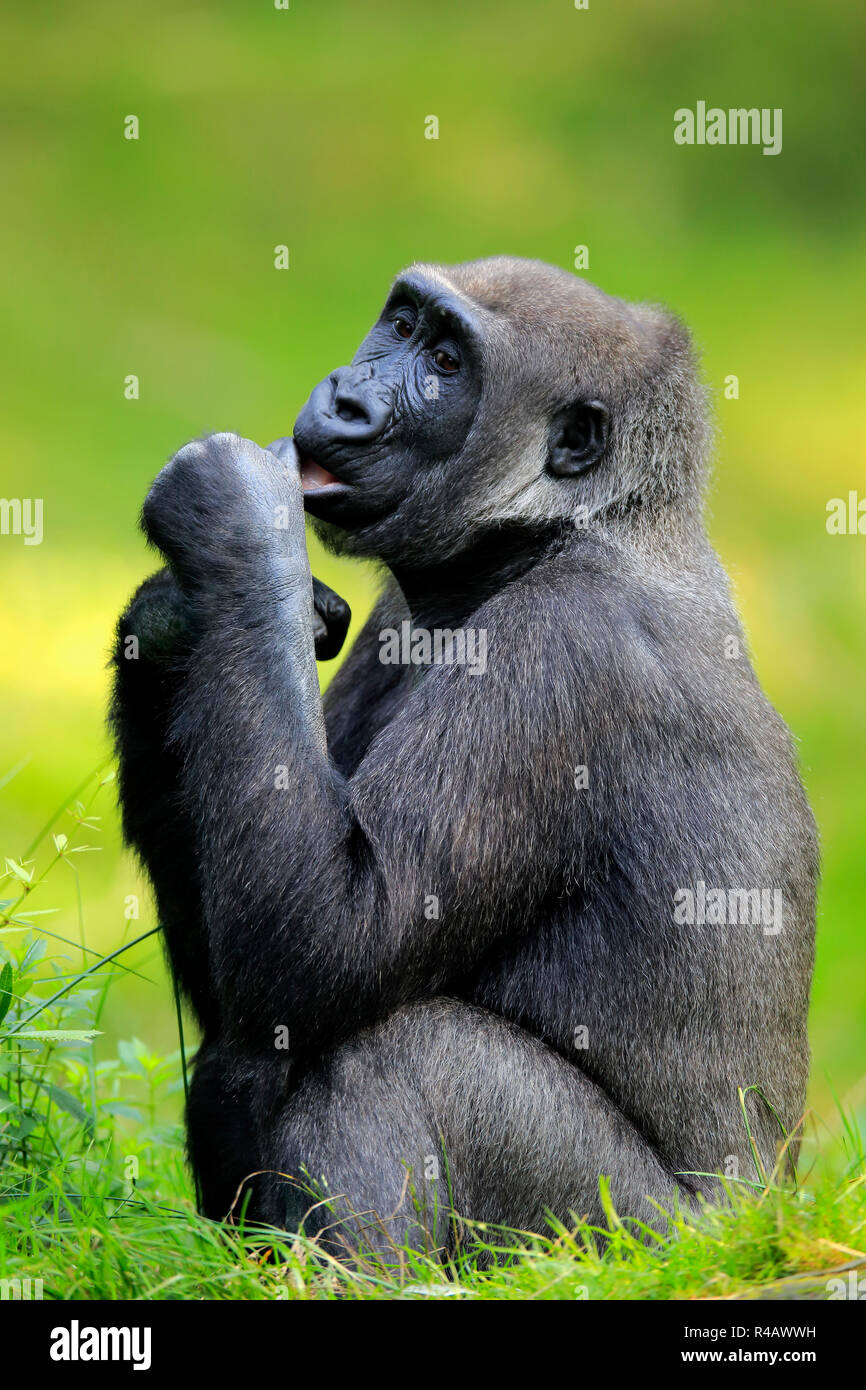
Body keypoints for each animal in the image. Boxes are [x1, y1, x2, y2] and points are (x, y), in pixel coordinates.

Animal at [109, 255, 817, 1256]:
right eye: (401, 327)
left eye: (447, 363)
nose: (348, 398)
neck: (570, 528)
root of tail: (768, 1215)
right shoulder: (395, 620)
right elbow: (245, 996)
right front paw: (175, 613)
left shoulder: (561, 650)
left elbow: (327, 942)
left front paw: (237, 517)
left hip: (630, 1239)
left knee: (399, 1047)